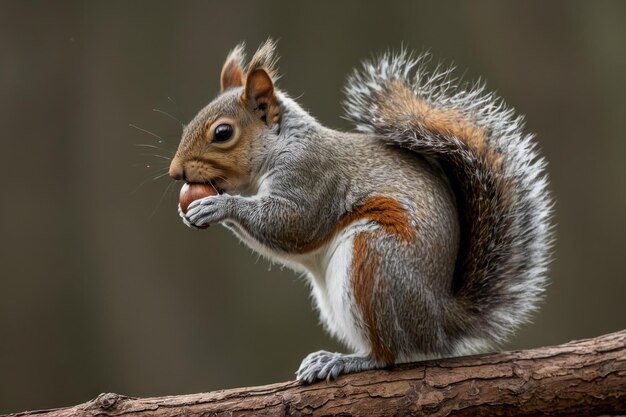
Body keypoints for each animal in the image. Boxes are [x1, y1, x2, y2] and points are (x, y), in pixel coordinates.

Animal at [167, 40, 552, 382]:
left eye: (222, 132)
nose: (175, 172)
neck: (281, 145)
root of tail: (441, 323)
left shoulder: (311, 177)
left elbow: (291, 225)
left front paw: (219, 205)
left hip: (375, 263)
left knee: (389, 354)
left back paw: (344, 361)